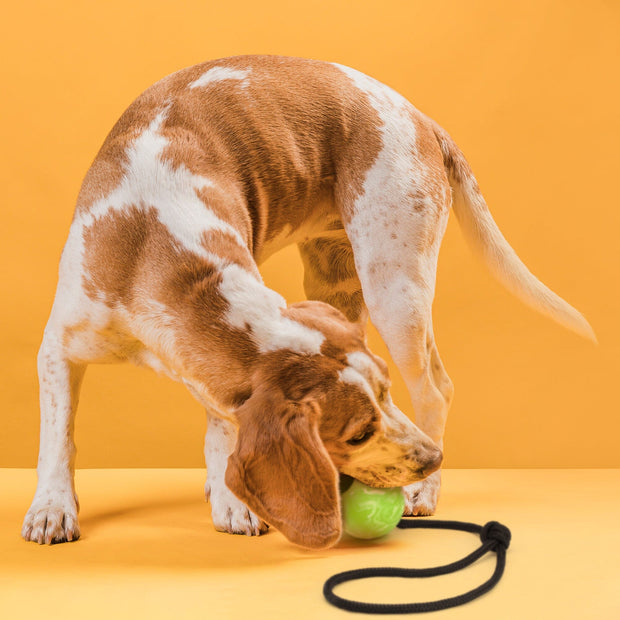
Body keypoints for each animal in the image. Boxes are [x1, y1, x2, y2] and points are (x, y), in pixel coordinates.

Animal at [23, 53, 596, 548]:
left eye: (385, 394)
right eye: (359, 431)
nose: (429, 459)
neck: (156, 246)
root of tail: (421, 118)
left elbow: (220, 430)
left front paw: (233, 501)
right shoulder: (58, 350)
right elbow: (58, 437)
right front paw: (52, 507)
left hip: (395, 291)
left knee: (437, 389)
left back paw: (422, 492)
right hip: (338, 286)